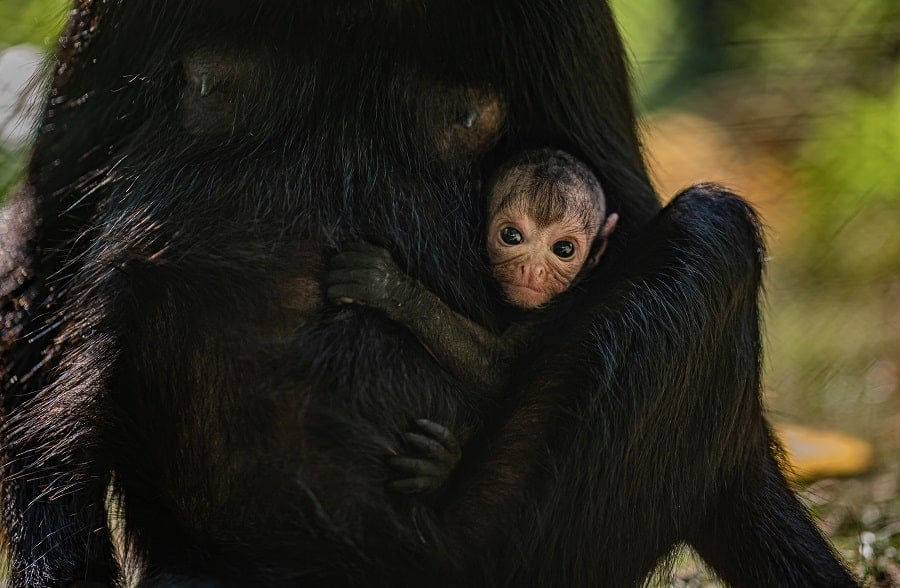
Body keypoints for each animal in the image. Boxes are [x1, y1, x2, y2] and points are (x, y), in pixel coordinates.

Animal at [326, 149, 616, 490]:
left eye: (564, 248)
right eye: (511, 236)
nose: (532, 269)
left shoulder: (556, 309)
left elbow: (501, 371)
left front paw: (390, 287)